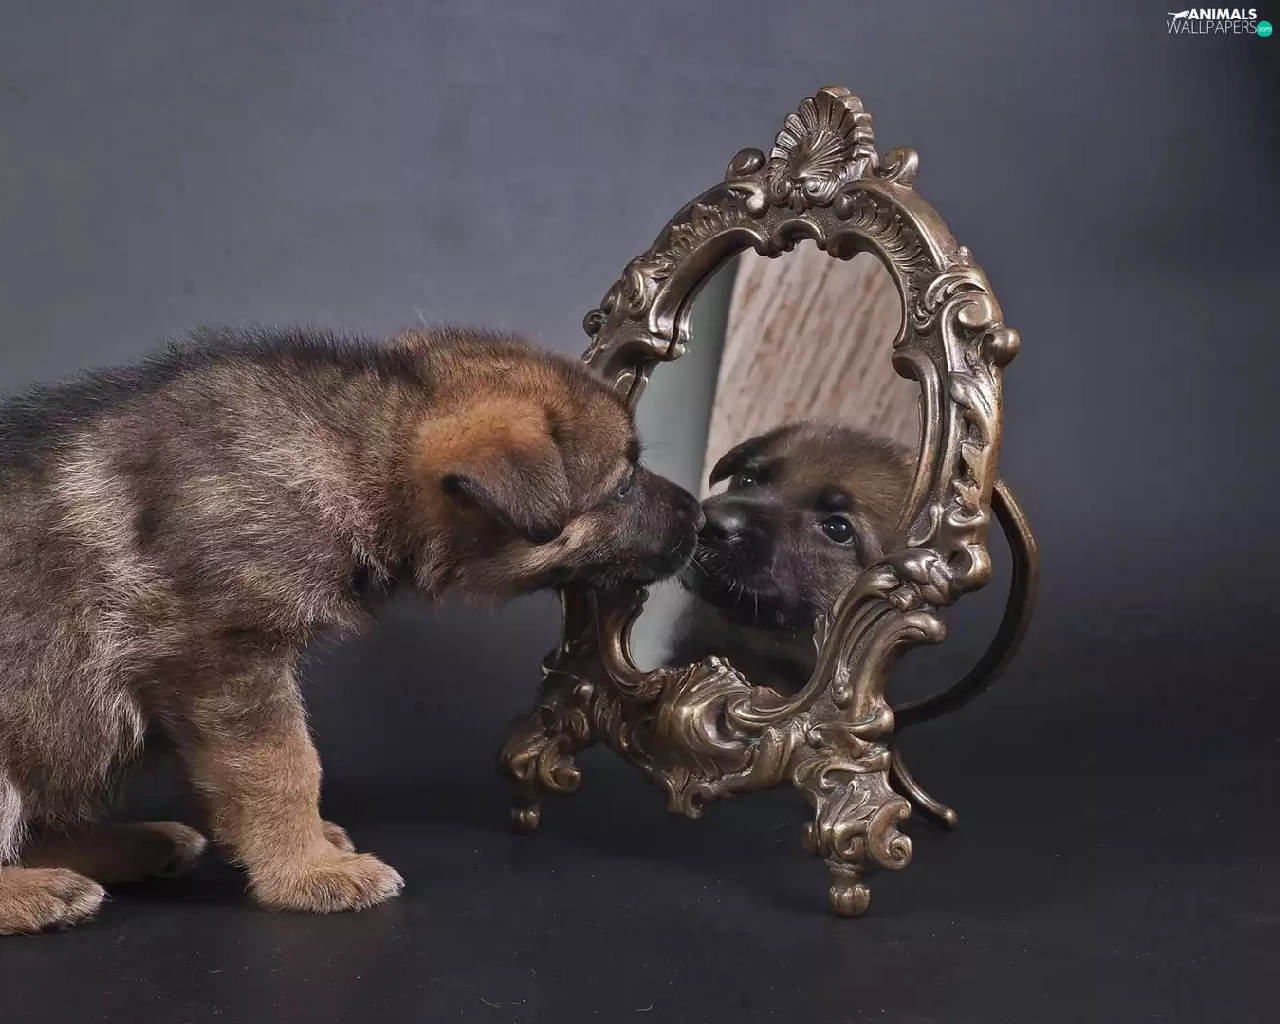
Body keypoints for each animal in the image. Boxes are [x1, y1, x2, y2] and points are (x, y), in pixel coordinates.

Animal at [0, 325, 702, 934]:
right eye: (623, 485)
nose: (703, 516)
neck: (356, 453)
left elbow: (241, 776)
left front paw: (304, 845)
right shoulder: (229, 656)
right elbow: (283, 766)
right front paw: (307, 870)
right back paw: (34, 891)